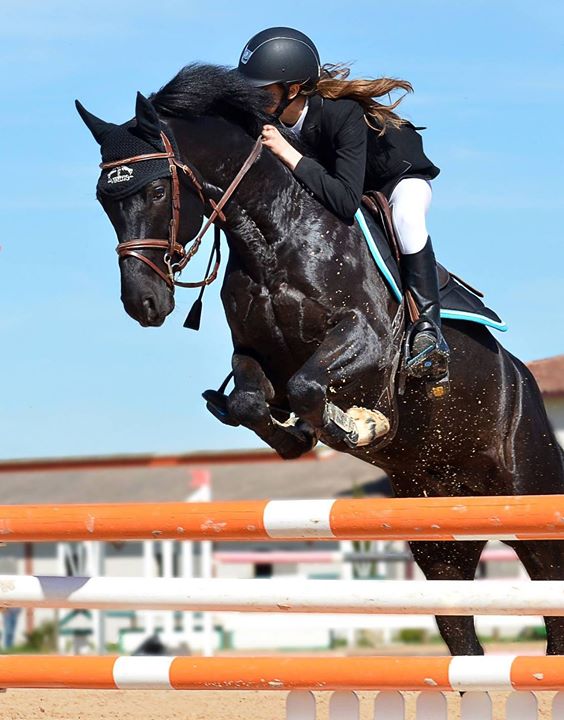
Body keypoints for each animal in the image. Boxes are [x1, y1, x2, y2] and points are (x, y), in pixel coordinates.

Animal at [77, 64, 564, 656]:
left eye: (154, 189)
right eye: (104, 200)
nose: (143, 303)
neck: (272, 235)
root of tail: (524, 383)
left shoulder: (367, 342)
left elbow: (312, 386)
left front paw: (358, 425)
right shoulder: (255, 354)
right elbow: (252, 401)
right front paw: (298, 436)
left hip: (533, 505)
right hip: (440, 541)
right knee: (462, 637)